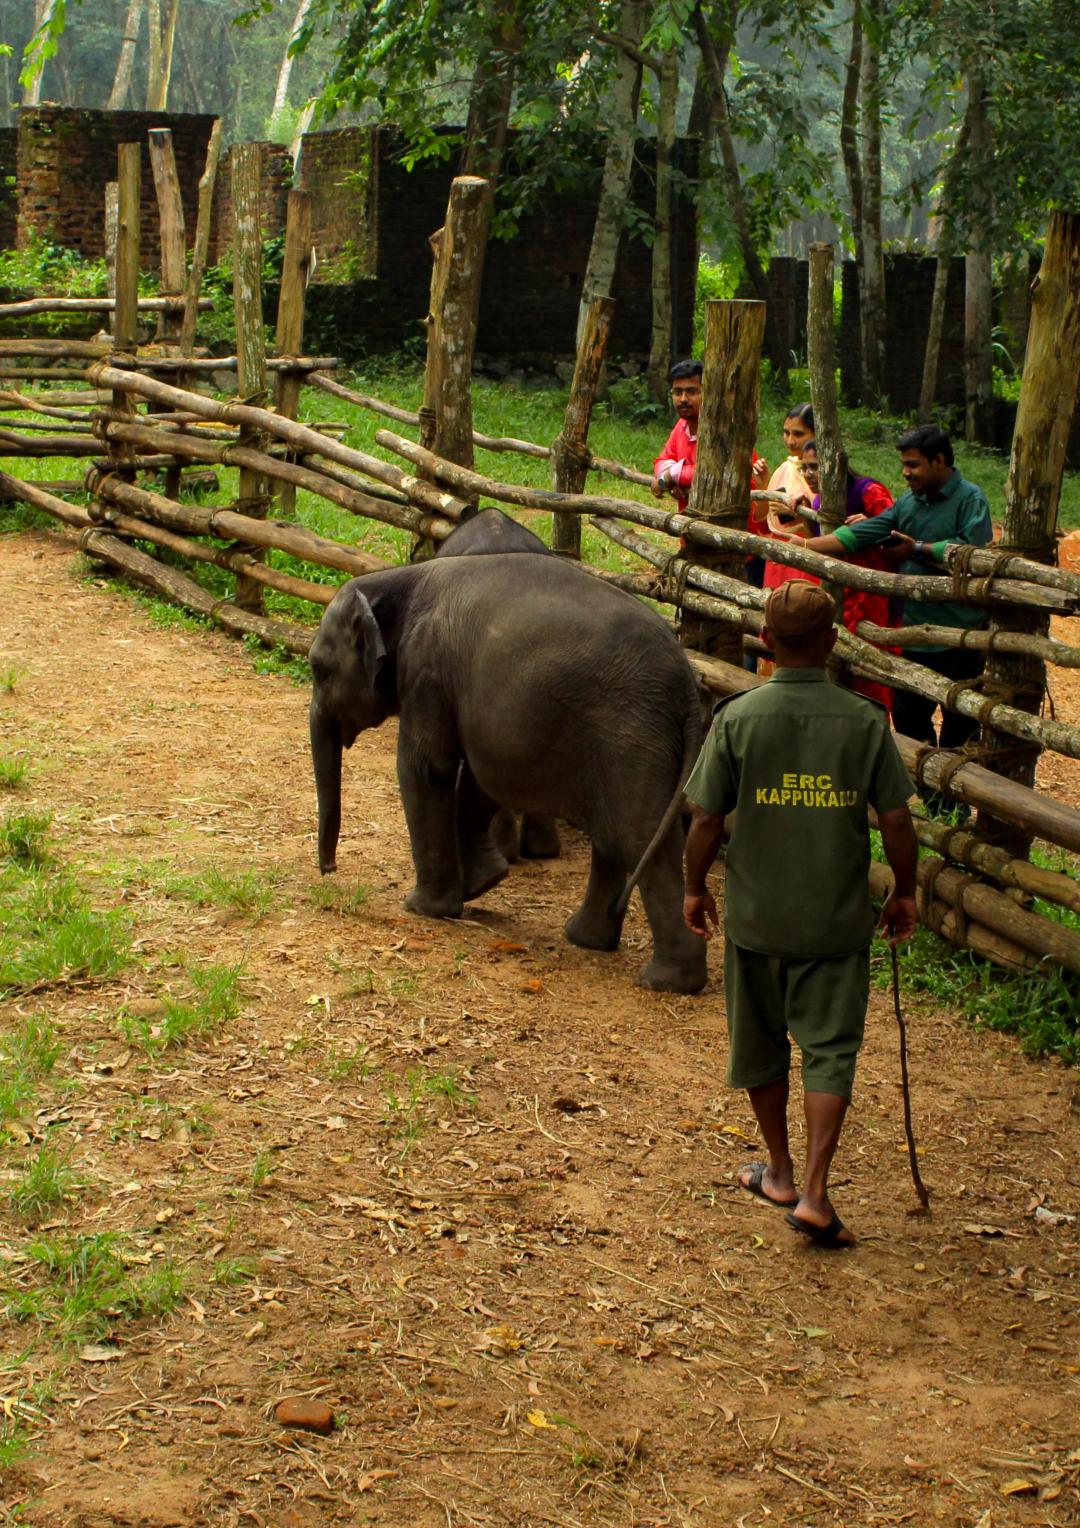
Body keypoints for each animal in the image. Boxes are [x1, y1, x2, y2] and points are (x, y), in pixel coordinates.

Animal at [308, 550, 708, 990]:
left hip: (630, 739)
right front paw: (483, 883)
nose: (329, 870)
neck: (396, 579)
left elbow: (427, 769)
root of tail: (689, 687)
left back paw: (666, 982)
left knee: (638, 837)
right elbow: (479, 780)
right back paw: (586, 939)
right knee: (615, 836)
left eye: (318, 670)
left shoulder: (427, 671)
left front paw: (423, 907)